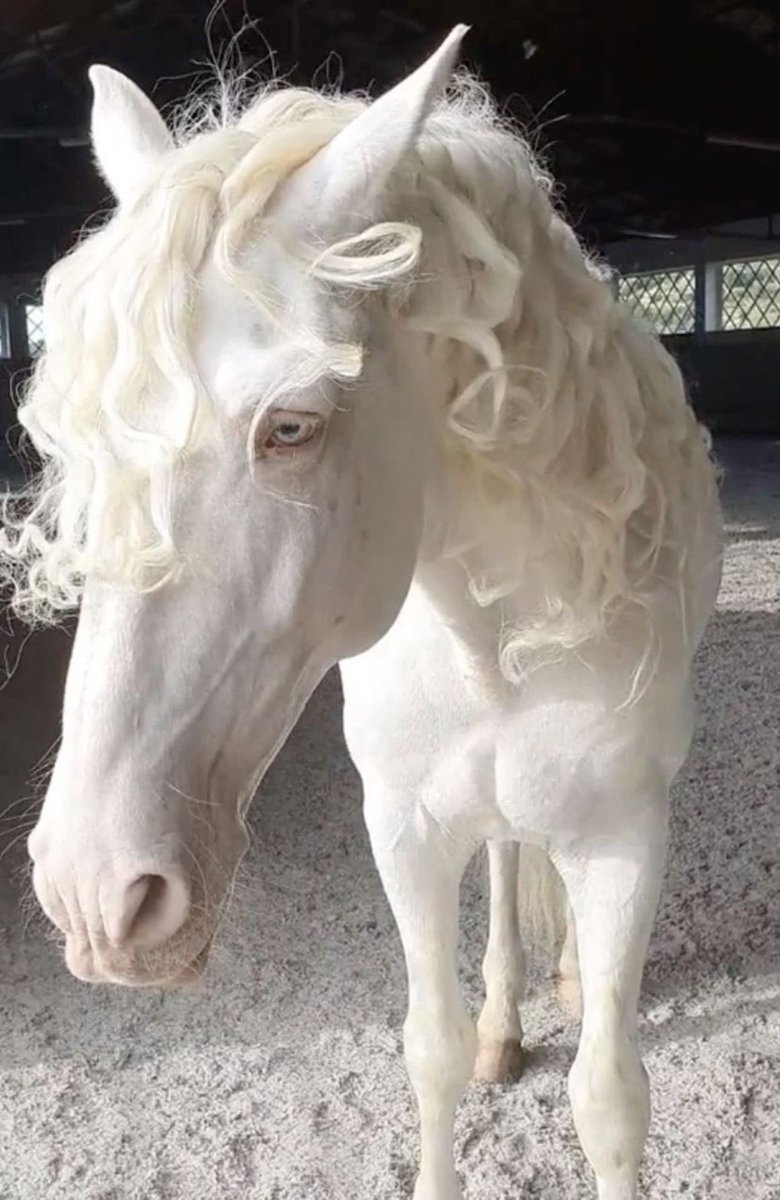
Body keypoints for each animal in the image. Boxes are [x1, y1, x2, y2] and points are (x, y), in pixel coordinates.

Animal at [1, 26, 722, 1200]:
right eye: (69, 442)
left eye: (292, 426)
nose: (97, 898)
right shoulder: (407, 827)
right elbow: (430, 1052)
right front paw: (476, 1040)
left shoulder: (625, 840)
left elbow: (610, 1100)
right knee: (505, 860)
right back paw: (504, 1022)